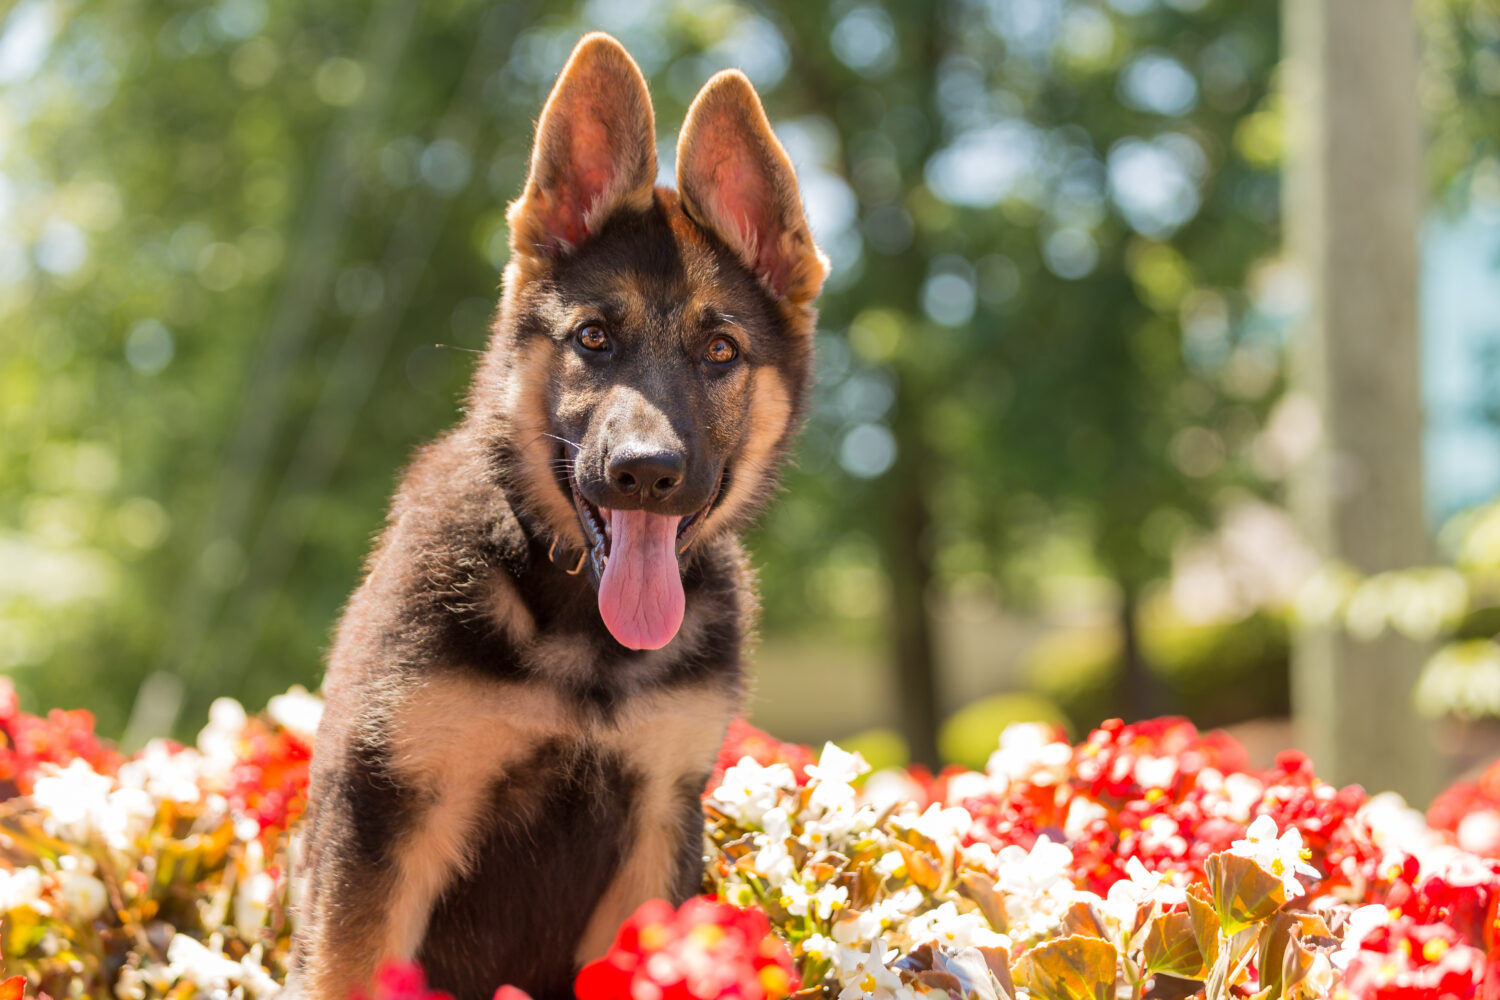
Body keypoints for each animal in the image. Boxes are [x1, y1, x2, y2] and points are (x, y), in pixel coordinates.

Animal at [289, 31, 834, 1000]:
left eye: (719, 350)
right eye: (593, 339)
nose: (645, 475)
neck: (583, 637)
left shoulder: (655, 824)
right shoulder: (389, 817)